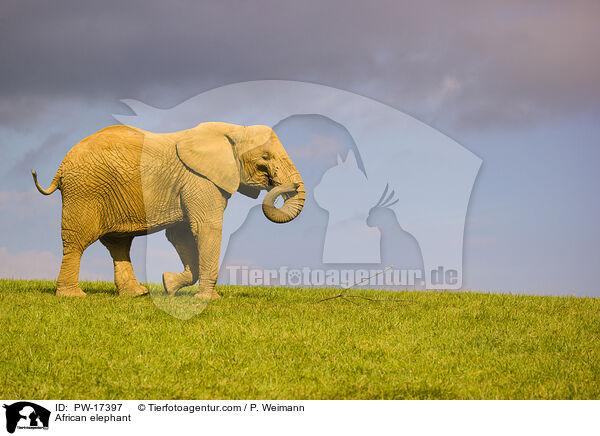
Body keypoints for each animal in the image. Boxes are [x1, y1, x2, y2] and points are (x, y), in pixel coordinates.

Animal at [32, 122, 304, 300]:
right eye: (265, 158)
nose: (280, 185)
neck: (234, 130)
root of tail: (61, 167)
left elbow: (180, 234)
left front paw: (167, 284)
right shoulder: (200, 180)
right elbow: (206, 228)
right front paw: (208, 300)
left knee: (119, 244)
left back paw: (136, 295)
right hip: (85, 191)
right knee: (78, 240)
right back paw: (73, 296)